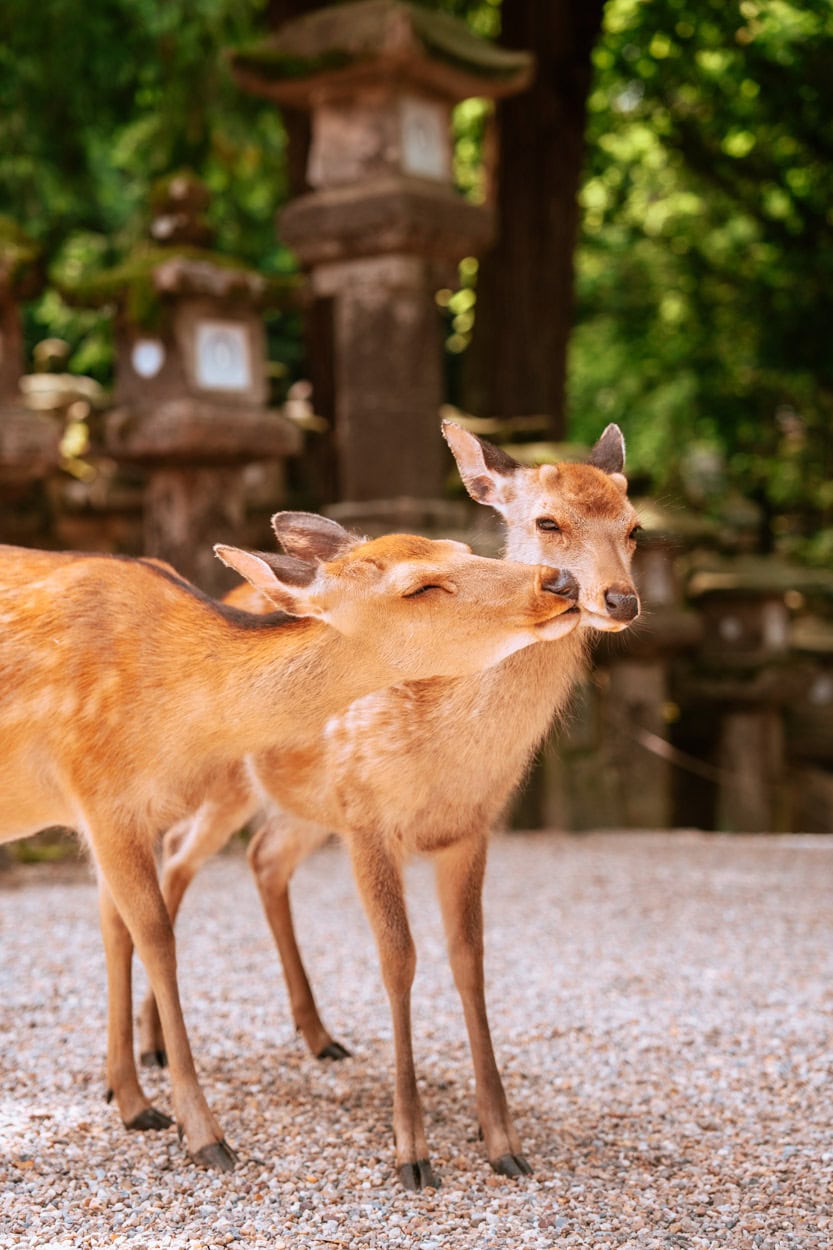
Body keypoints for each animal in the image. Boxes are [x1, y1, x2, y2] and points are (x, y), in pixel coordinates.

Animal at [0, 515, 577, 1170]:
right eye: (420, 587)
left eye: (458, 547)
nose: (560, 580)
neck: (174, 720)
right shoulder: (99, 795)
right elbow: (158, 938)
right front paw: (203, 1133)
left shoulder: (119, 816)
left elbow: (117, 927)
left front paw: (131, 1100)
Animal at [139, 422, 637, 1190]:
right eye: (547, 521)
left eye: (635, 526)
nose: (618, 599)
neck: (445, 752)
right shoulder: (369, 818)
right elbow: (397, 958)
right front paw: (412, 1151)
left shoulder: (469, 830)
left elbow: (470, 958)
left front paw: (503, 1141)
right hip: (225, 786)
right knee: (175, 861)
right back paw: (153, 1048)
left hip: (305, 808)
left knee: (263, 859)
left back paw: (318, 1036)